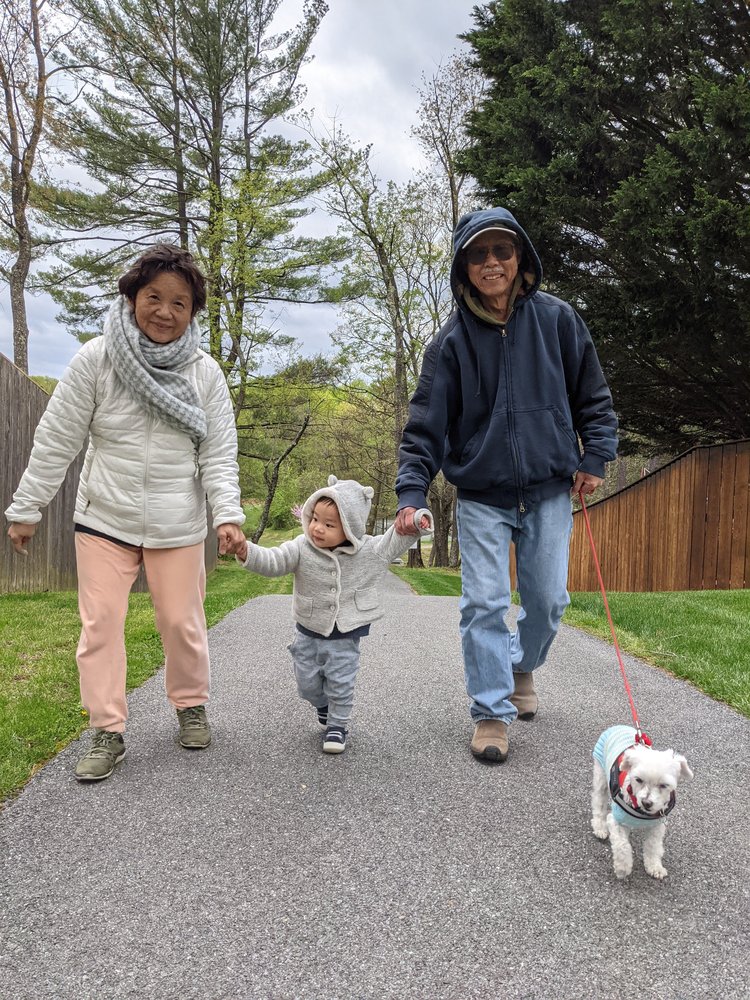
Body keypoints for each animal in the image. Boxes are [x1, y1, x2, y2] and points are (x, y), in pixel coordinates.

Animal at [592, 724, 692, 880]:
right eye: (638, 779)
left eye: (664, 785)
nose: (646, 802)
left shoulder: (657, 826)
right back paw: (599, 827)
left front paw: (654, 866)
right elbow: (622, 845)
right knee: (598, 801)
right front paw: (623, 868)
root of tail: (618, 726)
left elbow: (653, 846)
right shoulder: (616, 820)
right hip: (600, 774)